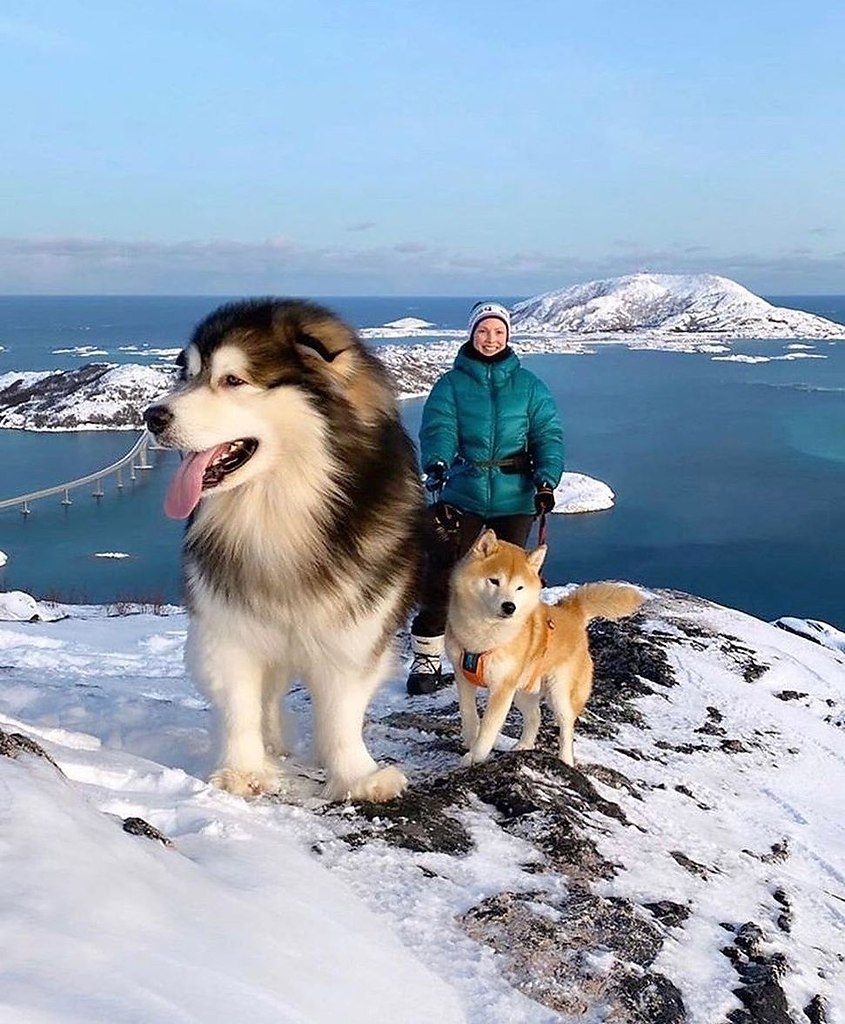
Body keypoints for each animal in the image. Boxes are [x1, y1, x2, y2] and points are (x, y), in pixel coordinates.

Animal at [145, 299, 426, 802]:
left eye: (233, 380)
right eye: (187, 375)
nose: (151, 417)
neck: (280, 509)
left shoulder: (355, 627)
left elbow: (341, 712)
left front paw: (356, 775)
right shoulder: (227, 624)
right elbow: (240, 705)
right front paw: (241, 771)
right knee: (269, 694)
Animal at [444, 532, 643, 765]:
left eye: (519, 587)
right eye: (494, 581)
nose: (509, 606)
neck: (483, 637)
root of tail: (571, 613)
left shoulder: (502, 688)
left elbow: (488, 728)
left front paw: (475, 757)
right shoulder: (463, 676)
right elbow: (468, 714)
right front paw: (469, 740)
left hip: (558, 692)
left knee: (566, 727)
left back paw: (565, 760)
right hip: (523, 689)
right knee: (535, 716)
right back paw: (523, 745)